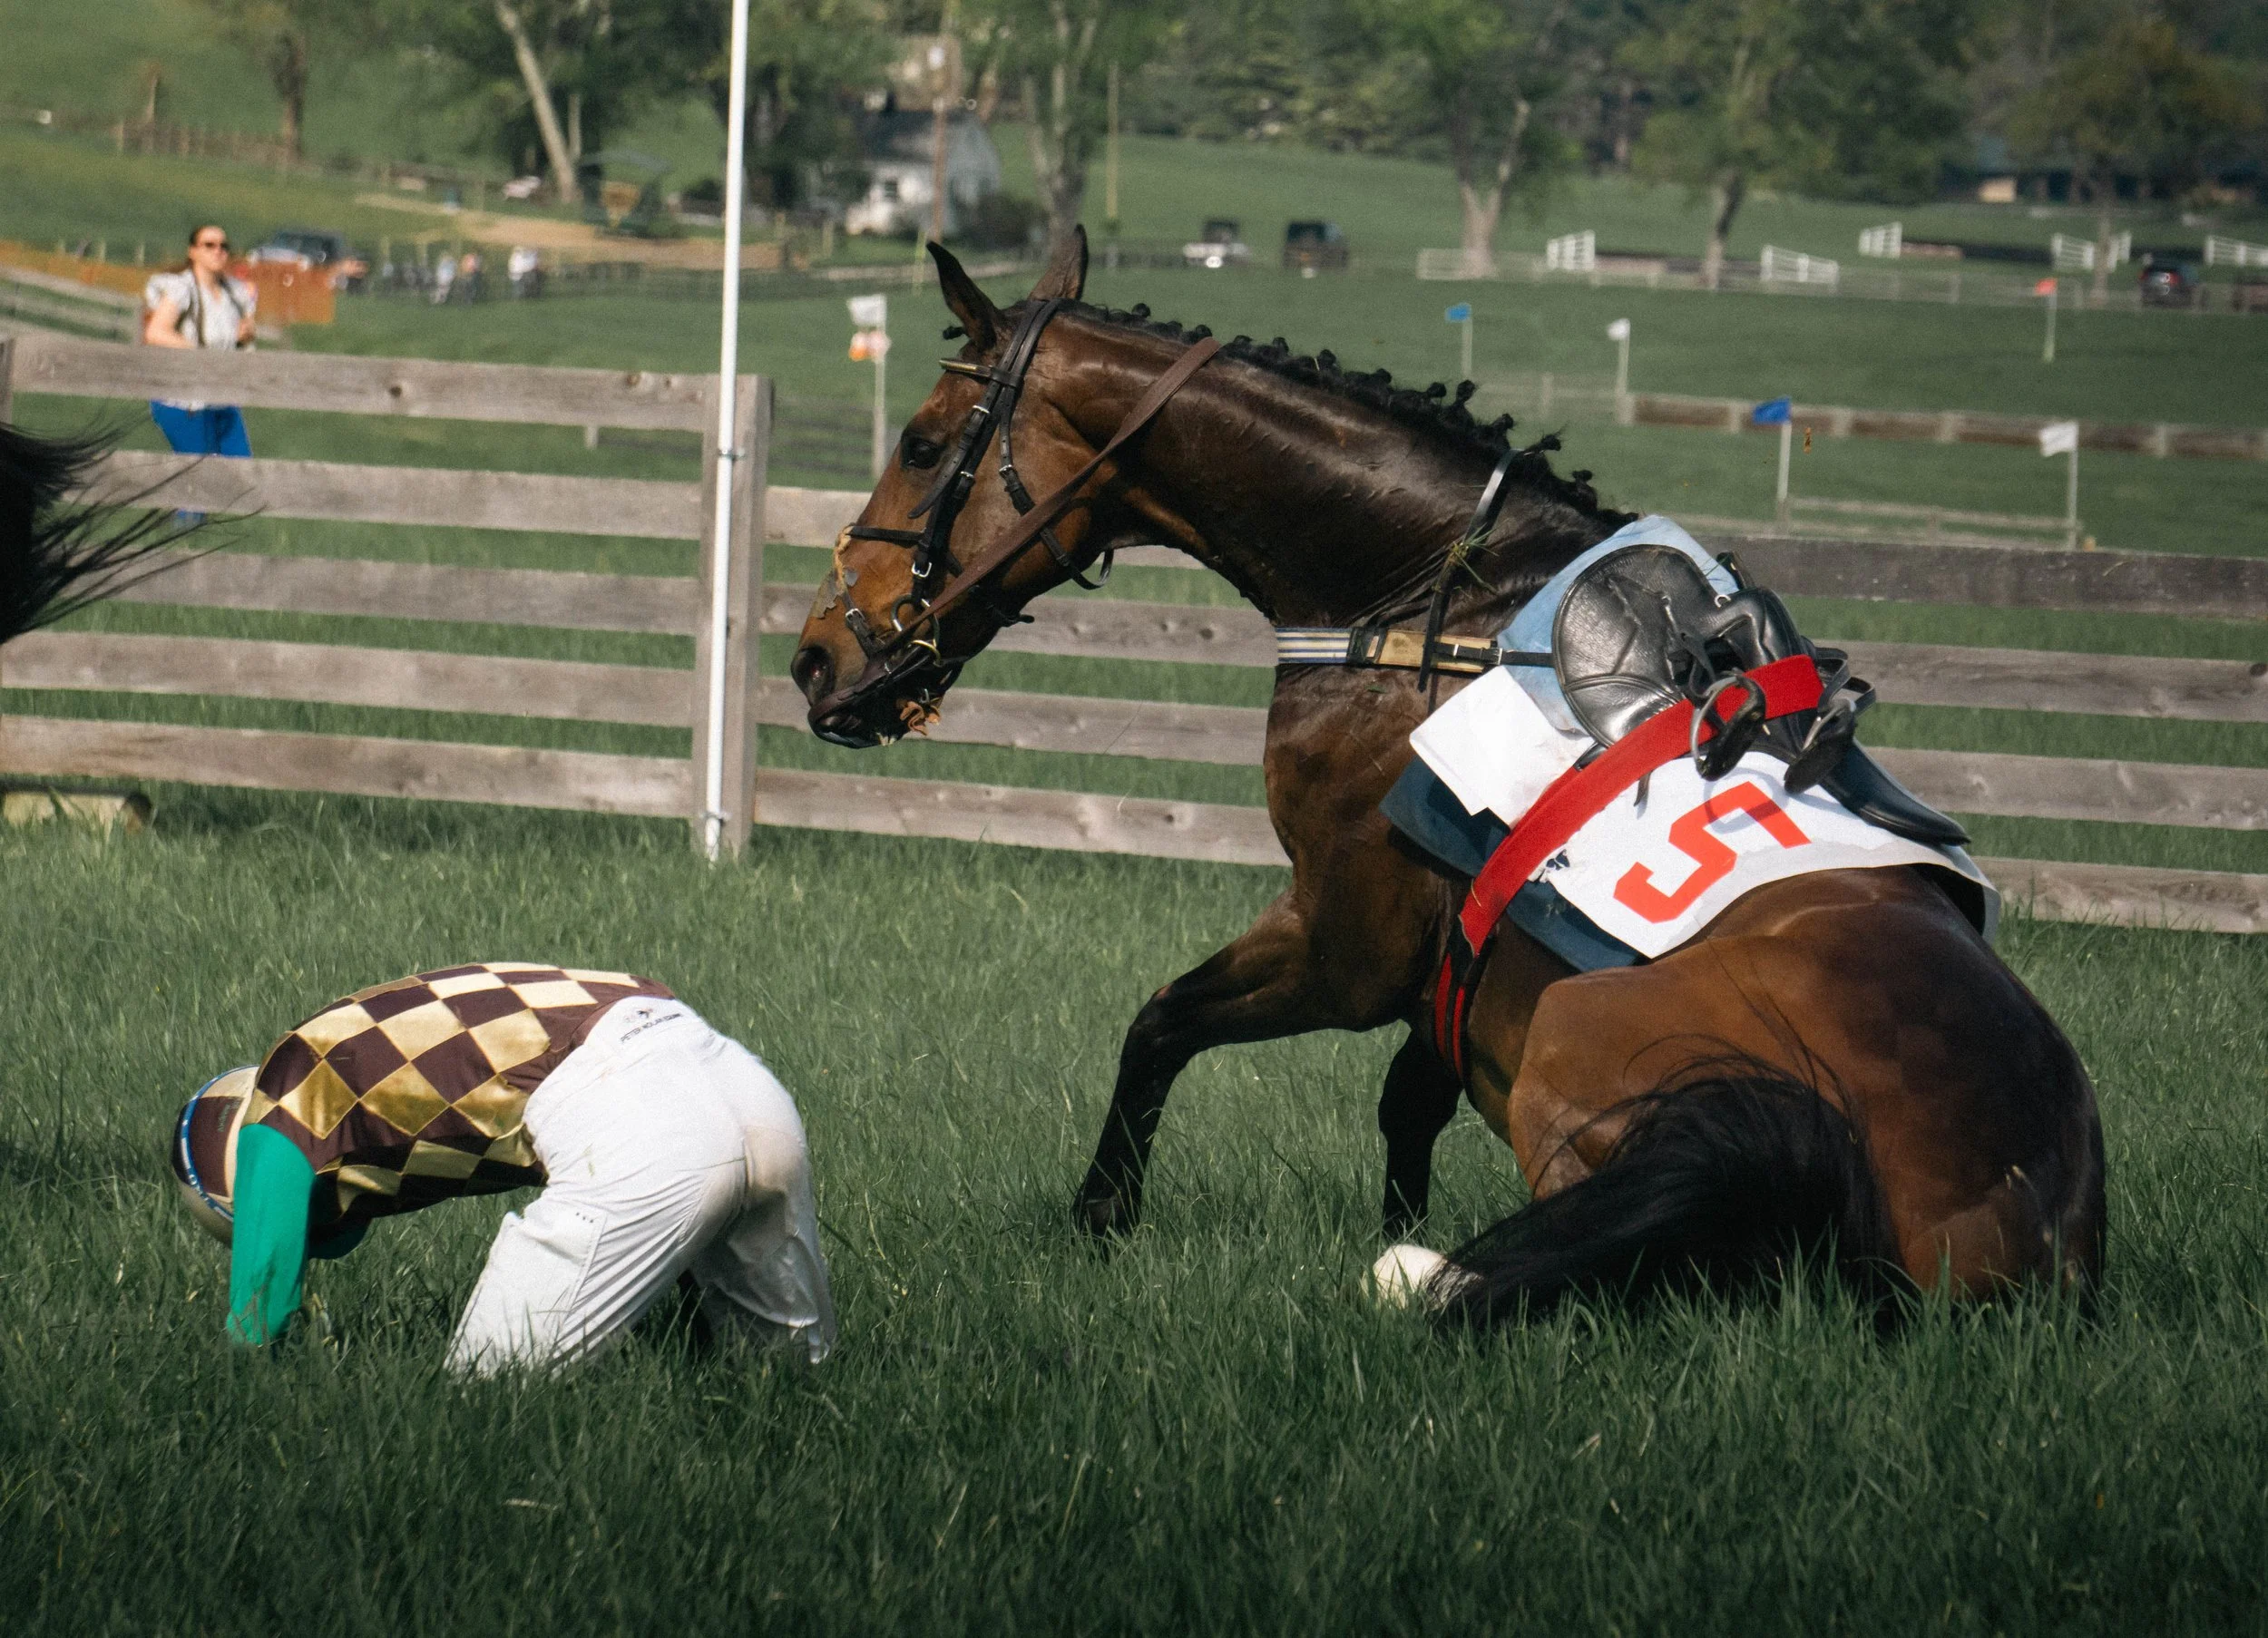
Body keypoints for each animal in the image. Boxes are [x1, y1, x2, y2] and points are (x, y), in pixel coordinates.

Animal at [790, 230, 2104, 1324]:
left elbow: (1160, 1024)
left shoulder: (1349, 943)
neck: (1435, 605)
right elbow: (1401, 1106)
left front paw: (1102, 1214)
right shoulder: (1440, 968)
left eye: (920, 443)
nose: (818, 656)